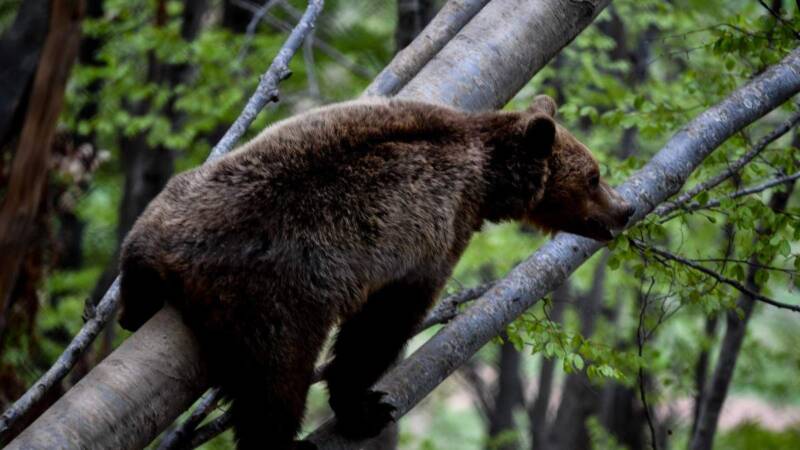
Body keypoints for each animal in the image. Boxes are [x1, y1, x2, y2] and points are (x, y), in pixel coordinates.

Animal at [117, 93, 632, 448]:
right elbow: (380, 329)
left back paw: (131, 310)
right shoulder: (432, 237)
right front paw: (367, 406)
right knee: (274, 386)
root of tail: (181, 256)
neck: (488, 183)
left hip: (172, 205)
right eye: (593, 176)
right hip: (274, 300)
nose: (623, 209)